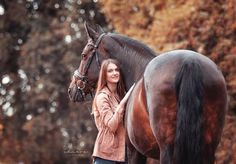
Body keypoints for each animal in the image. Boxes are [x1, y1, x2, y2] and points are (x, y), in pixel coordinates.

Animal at [68, 23, 227, 164]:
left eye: (83, 55)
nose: (71, 89)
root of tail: (189, 62)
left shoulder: (134, 151)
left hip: (167, 150)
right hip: (208, 148)